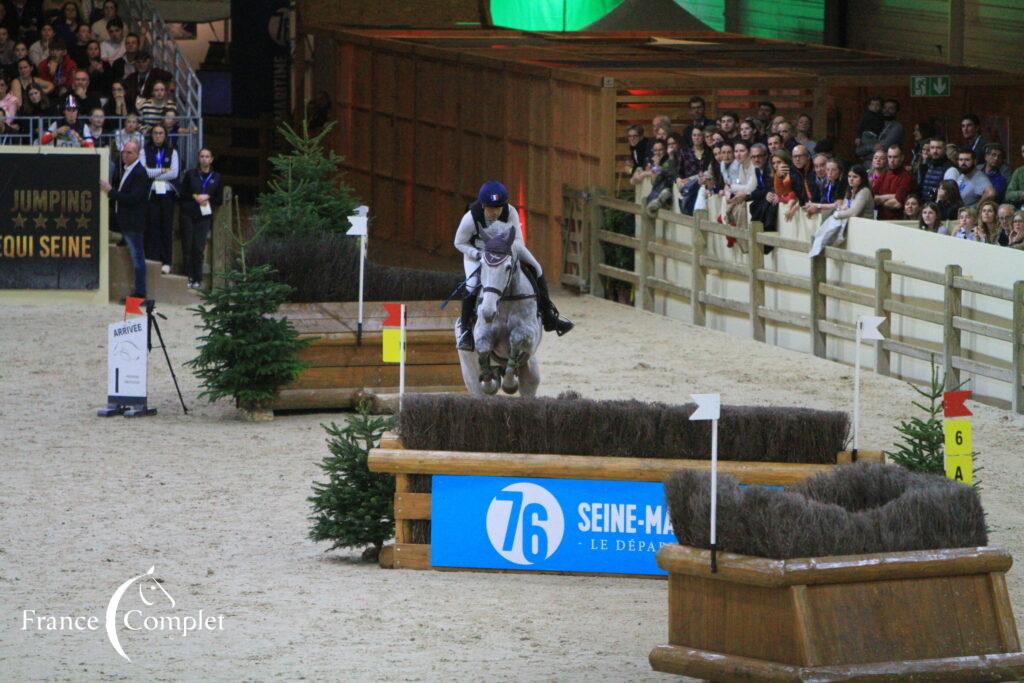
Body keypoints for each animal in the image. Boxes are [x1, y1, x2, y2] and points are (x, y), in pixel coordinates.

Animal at [460, 225, 544, 395]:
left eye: (508, 268)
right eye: (482, 266)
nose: (488, 312)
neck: (505, 302)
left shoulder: (531, 335)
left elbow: (516, 338)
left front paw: (509, 383)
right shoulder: (481, 332)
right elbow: (483, 349)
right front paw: (489, 384)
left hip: (531, 375)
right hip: (469, 374)